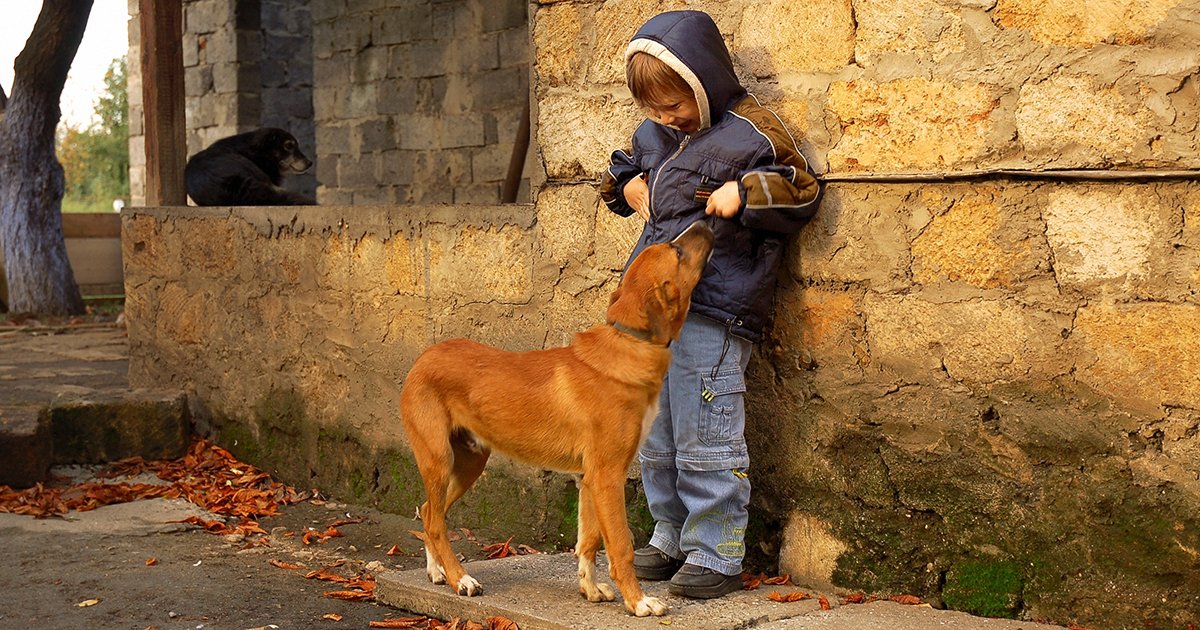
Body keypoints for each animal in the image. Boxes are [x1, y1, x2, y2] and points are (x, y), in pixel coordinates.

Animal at [398, 219, 710, 614]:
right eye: (677, 250)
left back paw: (437, 570)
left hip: (469, 462)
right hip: (439, 458)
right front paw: (638, 602)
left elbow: (588, 542)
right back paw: (461, 579)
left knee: (428, 512)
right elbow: (620, 545)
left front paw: (590, 590)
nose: (704, 221)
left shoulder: (589, 479)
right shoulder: (608, 476)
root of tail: (424, 357)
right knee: (436, 521)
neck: (630, 341)